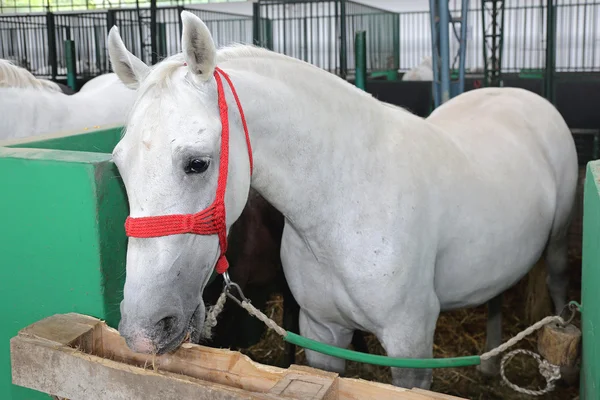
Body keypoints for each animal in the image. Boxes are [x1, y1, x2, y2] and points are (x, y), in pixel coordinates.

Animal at [106, 13, 576, 390]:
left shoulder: (410, 345)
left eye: (197, 163)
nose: (144, 329)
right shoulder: (321, 335)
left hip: (556, 247)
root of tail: (520, 95)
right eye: (119, 164)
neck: (345, 208)